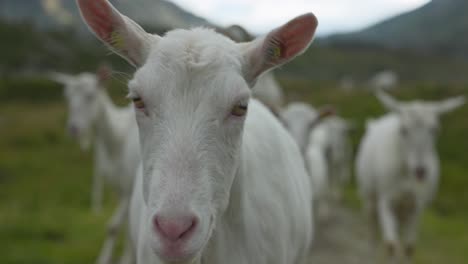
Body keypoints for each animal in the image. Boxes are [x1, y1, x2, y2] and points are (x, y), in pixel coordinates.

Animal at [51, 68, 140, 264]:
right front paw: (120, 257)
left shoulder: (130, 188)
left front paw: (118, 258)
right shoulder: (118, 188)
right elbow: (125, 227)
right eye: (67, 97)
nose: (73, 128)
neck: (117, 139)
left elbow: (114, 226)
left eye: (90, 95)